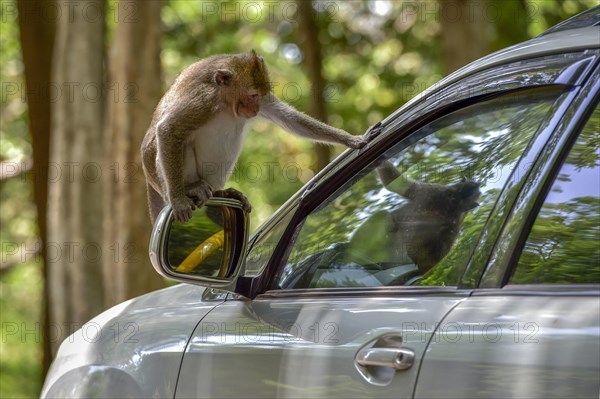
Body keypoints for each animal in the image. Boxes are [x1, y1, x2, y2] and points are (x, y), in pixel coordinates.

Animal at [142, 50, 366, 223]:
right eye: (252, 95)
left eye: (261, 95)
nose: (256, 108)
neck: (226, 103)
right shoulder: (203, 100)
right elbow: (169, 130)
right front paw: (178, 201)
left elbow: (290, 118)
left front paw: (351, 139)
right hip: (161, 176)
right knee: (178, 143)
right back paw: (191, 188)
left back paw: (221, 193)